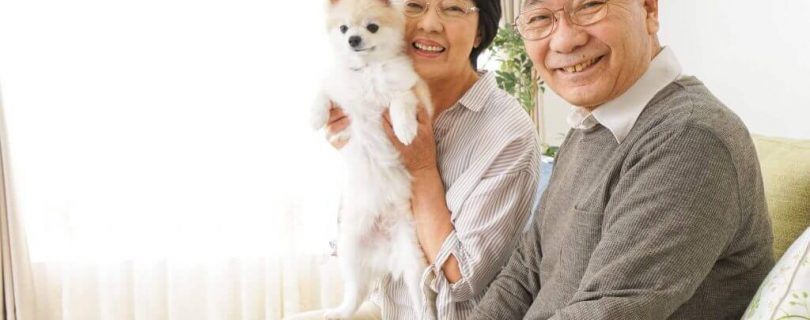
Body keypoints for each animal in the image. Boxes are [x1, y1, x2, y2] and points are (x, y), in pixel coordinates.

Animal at [310, 0, 436, 318]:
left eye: (372, 27)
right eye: (343, 28)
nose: (353, 40)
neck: (366, 70)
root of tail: (384, 254)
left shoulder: (411, 91)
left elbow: (400, 102)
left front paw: (405, 130)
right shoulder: (338, 88)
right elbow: (323, 89)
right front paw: (315, 116)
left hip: (413, 260)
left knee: (420, 298)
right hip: (350, 249)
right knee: (356, 290)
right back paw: (341, 311)